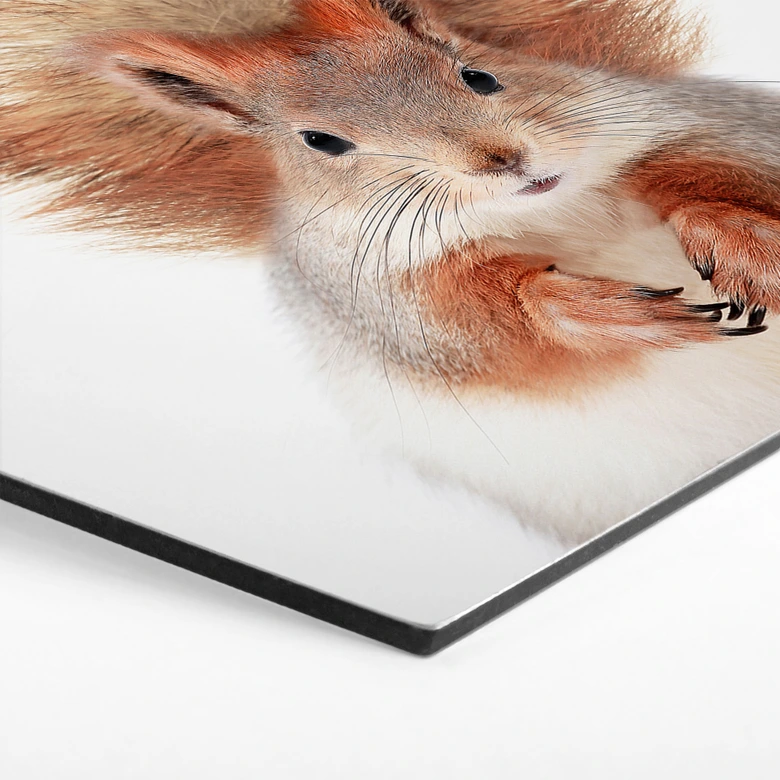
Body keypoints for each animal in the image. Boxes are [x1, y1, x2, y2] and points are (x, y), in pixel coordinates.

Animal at [1, 0, 779, 542]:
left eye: (477, 73)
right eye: (321, 141)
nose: (504, 160)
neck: (556, 209)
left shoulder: (682, 122)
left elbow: (719, 171)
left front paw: (739, 240)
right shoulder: (371, 294)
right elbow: (473, 332)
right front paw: (592, 308)